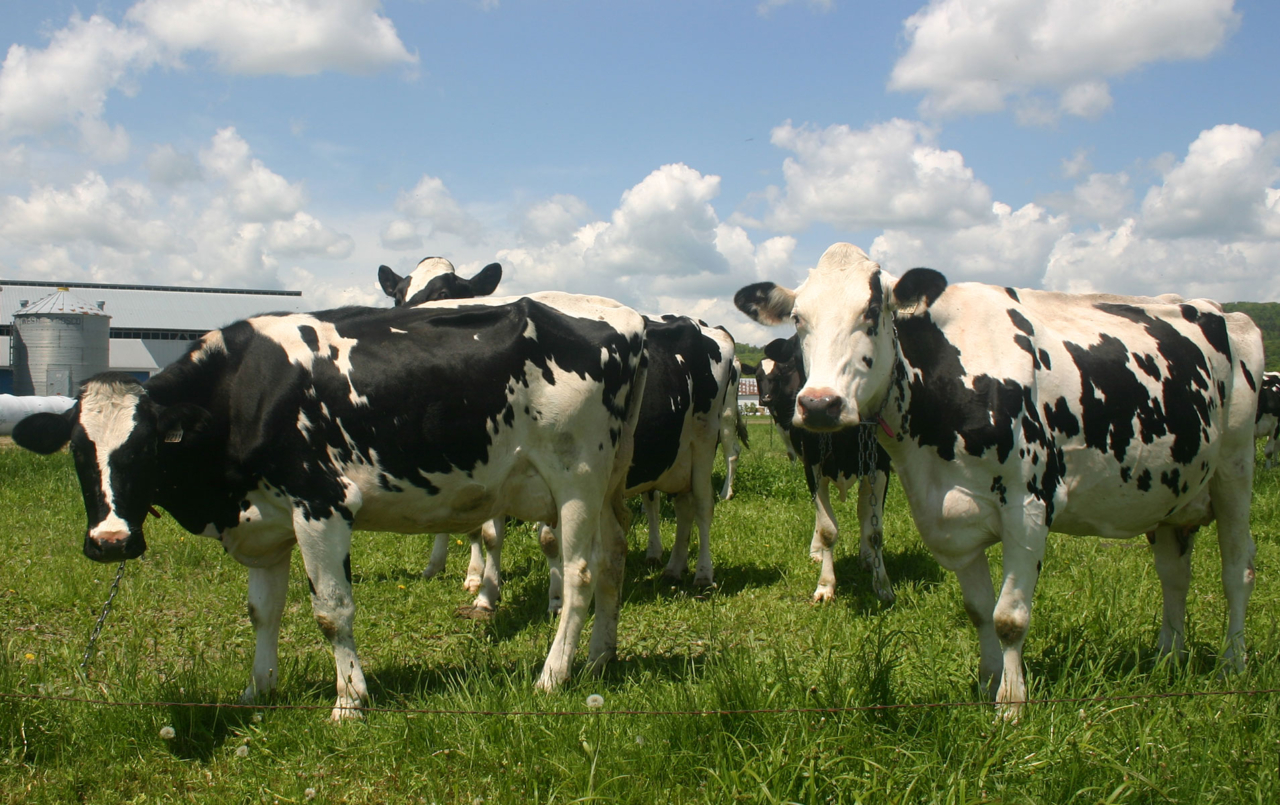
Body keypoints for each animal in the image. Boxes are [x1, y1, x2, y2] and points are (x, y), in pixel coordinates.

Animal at [12, 294, 647, 718]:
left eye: (144, 448)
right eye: (78, 451)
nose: (110, 542)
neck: (245, 394)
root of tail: (626, 320)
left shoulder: (321, 504)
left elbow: (331, 612)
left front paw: (349, 704)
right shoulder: (265, 524)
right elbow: (262, 612)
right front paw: (257, 691)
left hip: (576, 478)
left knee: (579, 574)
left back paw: (553, 675)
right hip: (610, 484)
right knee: (613, 561)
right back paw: (600, 658)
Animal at [755, 336, 894, 603]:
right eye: (799, 358)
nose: (817, 405)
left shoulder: (880, 467)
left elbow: (874, 529)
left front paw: (882, 583)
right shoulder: (812, 467)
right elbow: (828, 528)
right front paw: (825, 585)